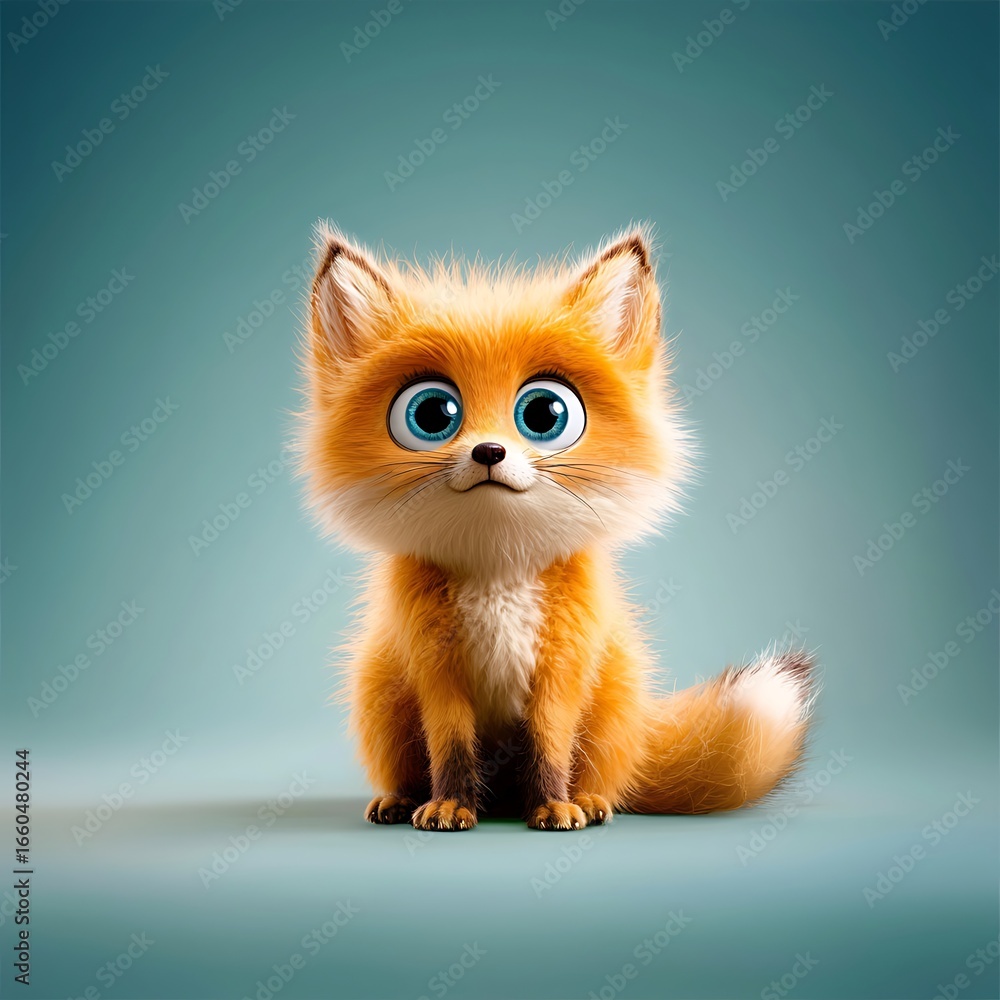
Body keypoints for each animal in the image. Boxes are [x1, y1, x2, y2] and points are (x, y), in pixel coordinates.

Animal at [298, 222, 816, 831]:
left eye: (545, 413)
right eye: (429, 414)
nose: (489, 451)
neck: (498, 575)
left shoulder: (562, 668)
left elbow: (549, 747)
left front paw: (551, 806)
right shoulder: (436, 673)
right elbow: (451, 750)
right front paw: (450, 805)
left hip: (611, 705)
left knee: (600, 777)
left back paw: (587, 800)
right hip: (381, 698)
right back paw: (404, 800)